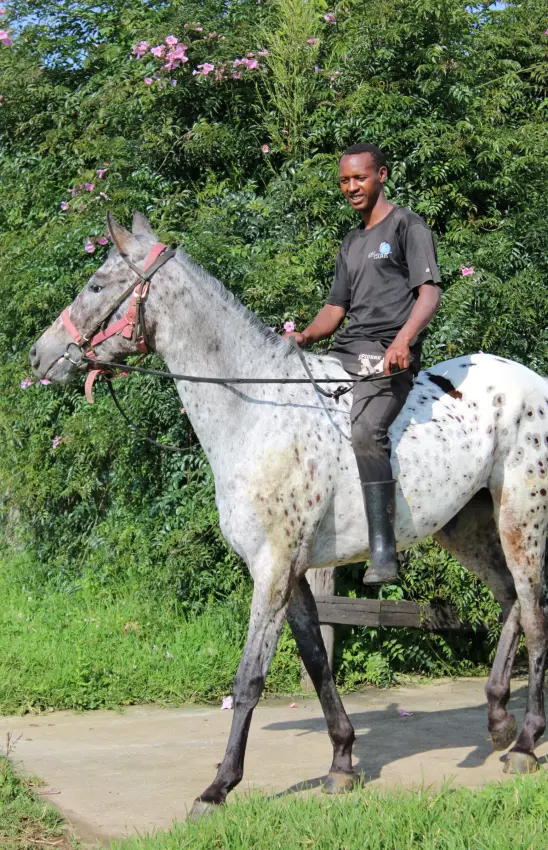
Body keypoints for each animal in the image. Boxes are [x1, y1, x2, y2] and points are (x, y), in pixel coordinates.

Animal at [29, 212, 548, 816]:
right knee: (513, 601)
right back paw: (497, 719)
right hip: (464, 526)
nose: (39, 357)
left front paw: (218, 787)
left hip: (522, 518)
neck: (255, 411)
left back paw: (525, 744)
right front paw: (342, 763)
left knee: (535, 615)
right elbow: (317, 663)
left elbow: (249, 678)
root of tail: (533, 383)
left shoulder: (272, 568)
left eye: (95, 285)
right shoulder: (293, 571)